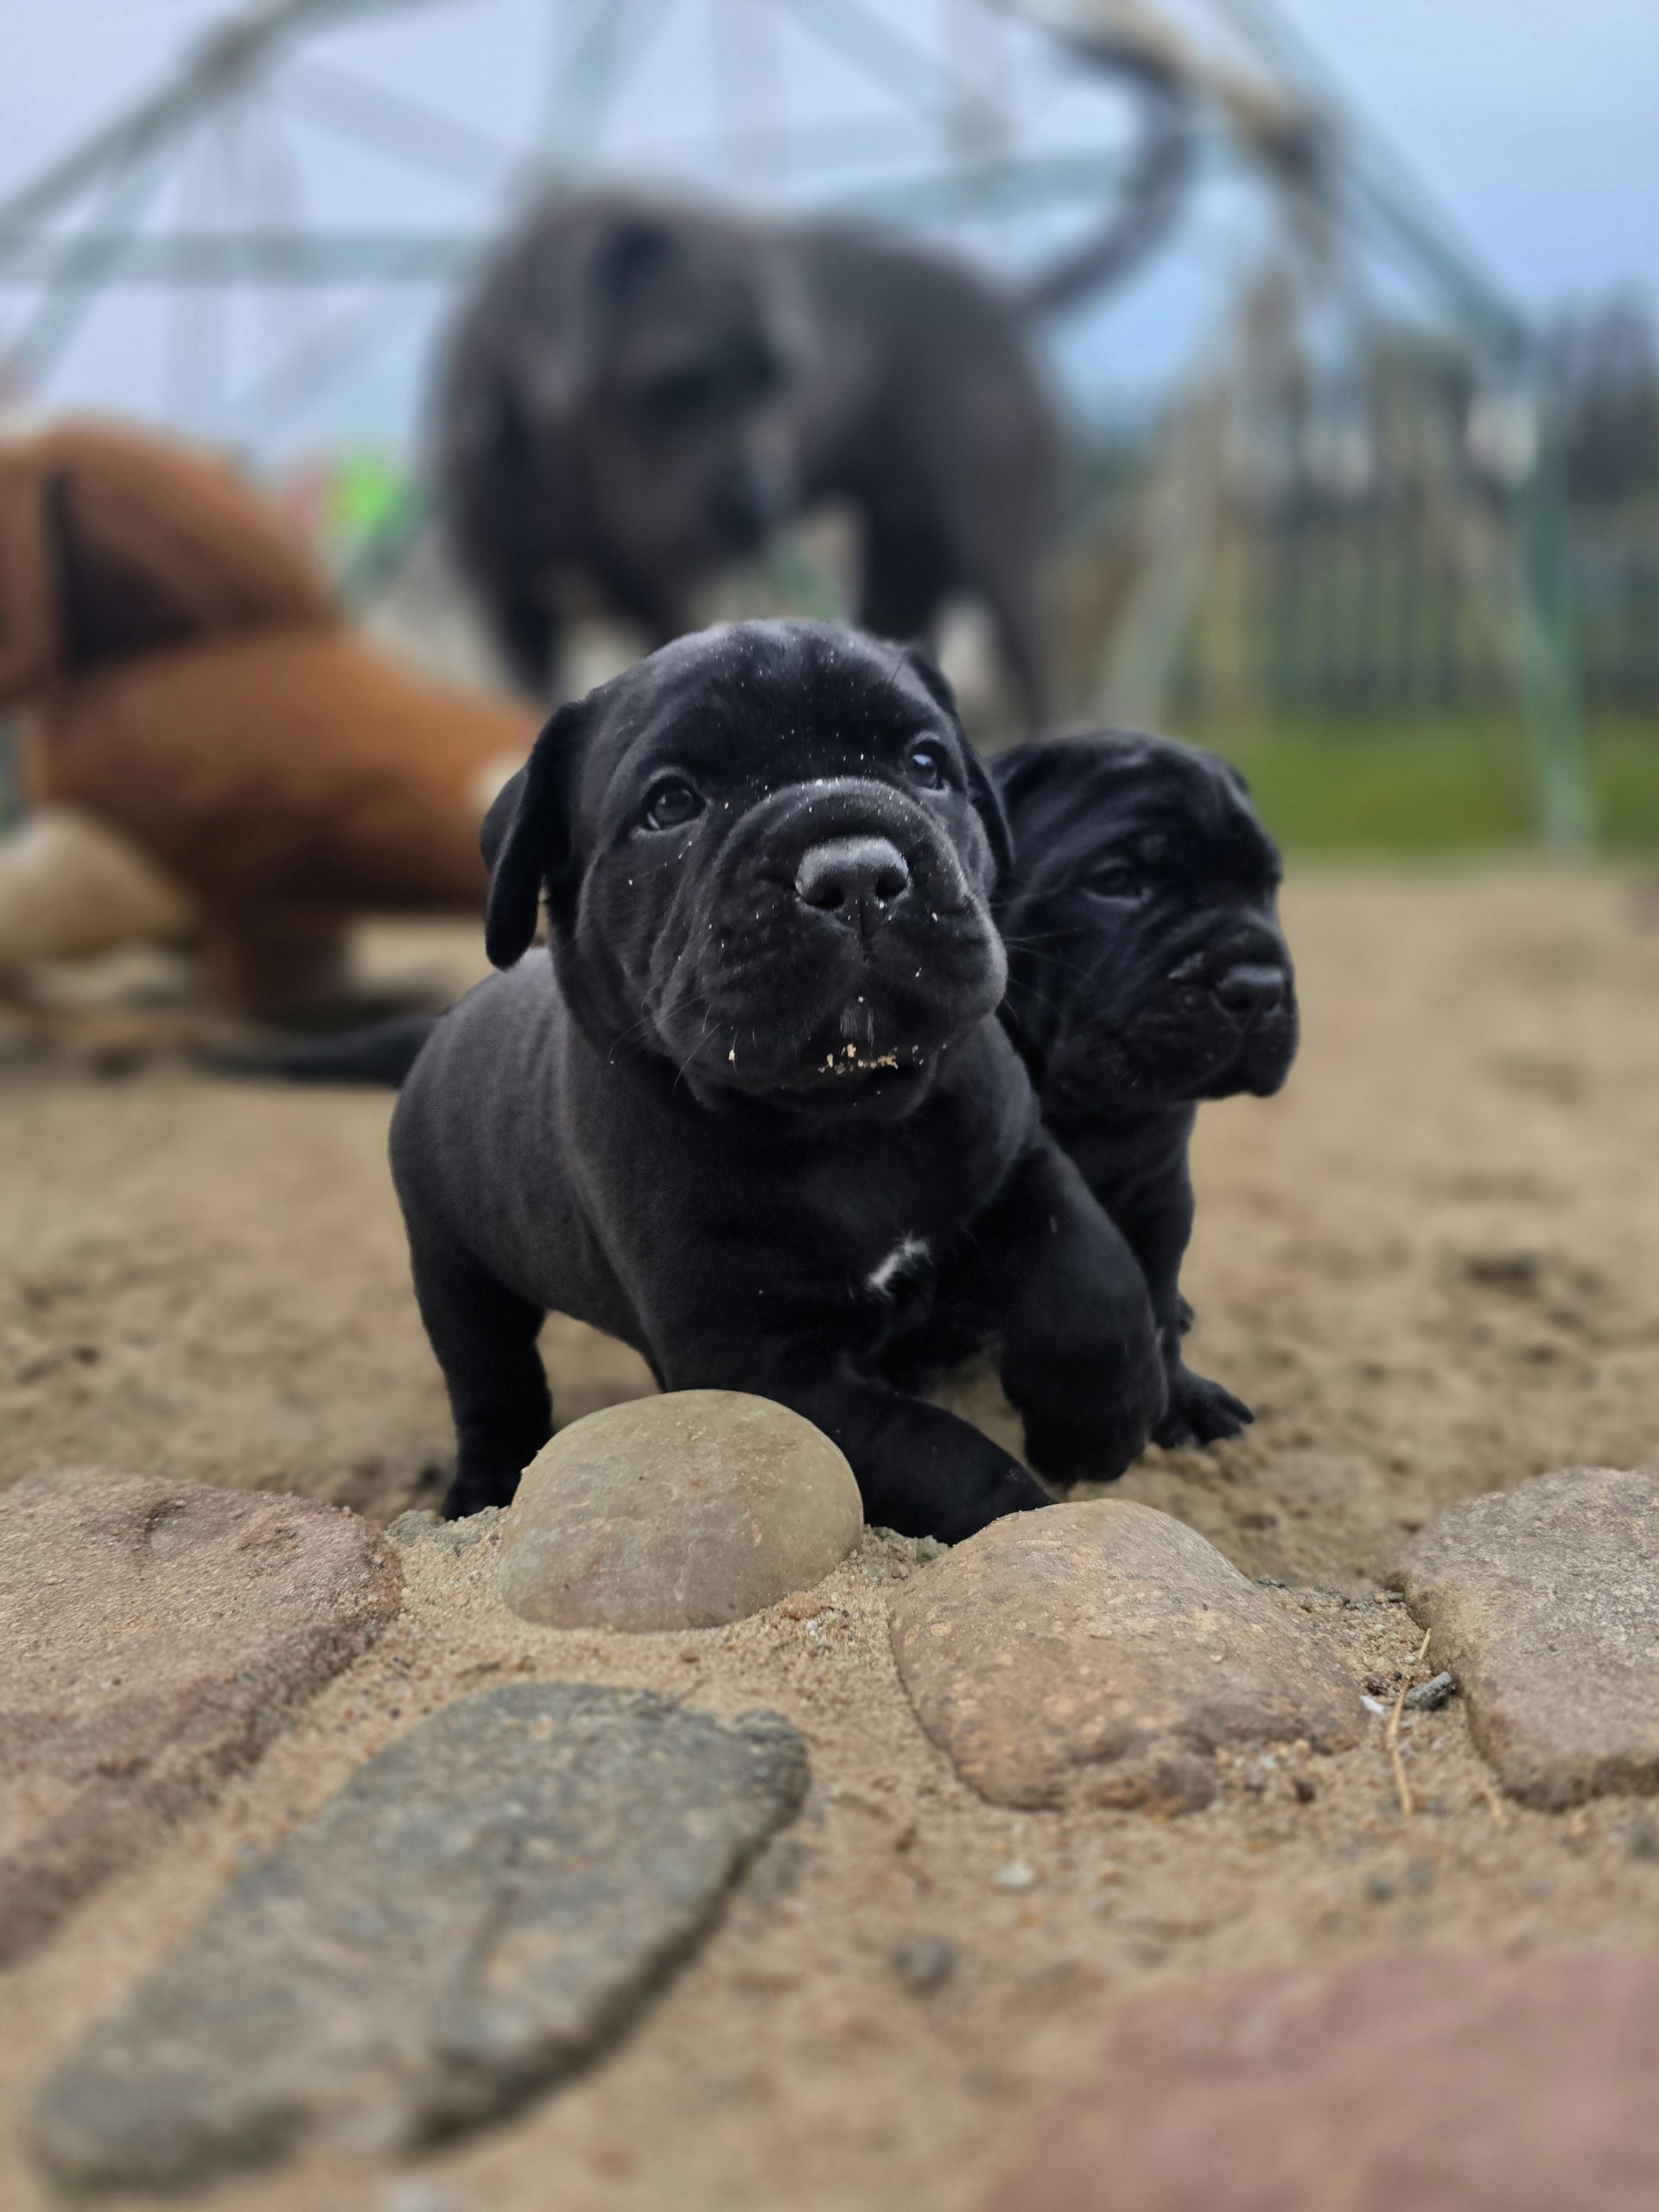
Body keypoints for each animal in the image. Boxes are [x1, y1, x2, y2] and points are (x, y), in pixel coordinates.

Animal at [388, 621, 1166, 1533]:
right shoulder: (764, 1367)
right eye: (671, 805)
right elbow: (934, 1454)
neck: (849, 1118)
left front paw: (1101, 1420)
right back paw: (481, 1489)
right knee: (491, 1379)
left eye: (928, 763)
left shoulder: (1017, 1156)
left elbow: (1091, 1270)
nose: (856, 869)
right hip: (453, 1266)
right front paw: (1028, 1515)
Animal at [438, 191, 1060, 724]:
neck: (569, 487)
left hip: (1000, 563)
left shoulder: (668, 607)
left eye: (777, 378)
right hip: (902, 577)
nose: (765, 505)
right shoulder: (515, 618)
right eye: (681, 381)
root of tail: (1008, 304)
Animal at [988, 731, 1298, 1448]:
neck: (1081, 1104)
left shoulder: (1158, 1192)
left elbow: (1152, 1304)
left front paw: (1178, 1401)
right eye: (1115, 883)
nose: (1258, 984)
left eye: (1266, 888)